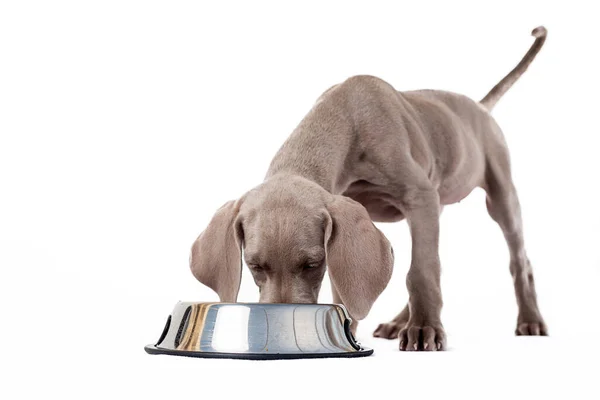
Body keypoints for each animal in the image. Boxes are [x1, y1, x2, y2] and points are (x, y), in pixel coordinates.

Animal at [191, 26, 548, 350]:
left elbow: (421, 270)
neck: (345, 119)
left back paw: (529, 320)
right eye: (254, 266)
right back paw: (398, 321)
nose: (279, 333)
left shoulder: (418, 196)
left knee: (518, 260)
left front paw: (425, 328)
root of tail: (479, 106)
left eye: (311, 264)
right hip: (438, 201)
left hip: (498, 194)